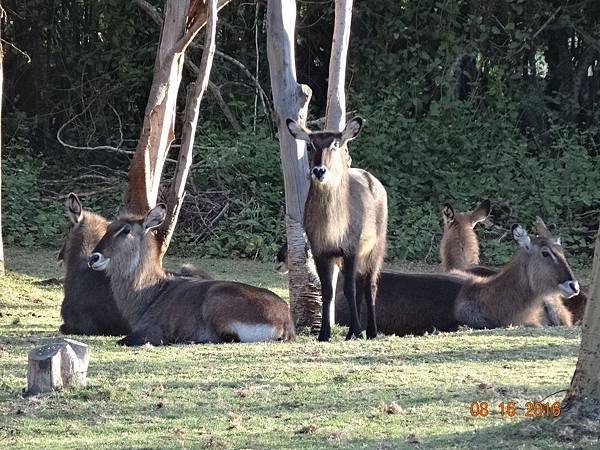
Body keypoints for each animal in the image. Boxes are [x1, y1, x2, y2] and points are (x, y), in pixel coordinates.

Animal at [88, 206, 296, 346]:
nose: (93, 257)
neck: (152, 292)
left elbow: (123, 340)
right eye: (108, 228)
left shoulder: (152, 331)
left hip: (215, 298)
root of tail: (286, 322)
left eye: (126, 230)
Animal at [286, 116, 390, 342]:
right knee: (359, 285)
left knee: (369, 286)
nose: (319, 170)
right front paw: (324, 334)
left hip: (376, 248)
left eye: (335, 144)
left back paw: (371, 331)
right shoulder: (320, 251)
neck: (333, 228)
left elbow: (348, 289)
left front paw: (356, 331)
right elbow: (327, 291)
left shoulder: (351, 248)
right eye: (310, 145)